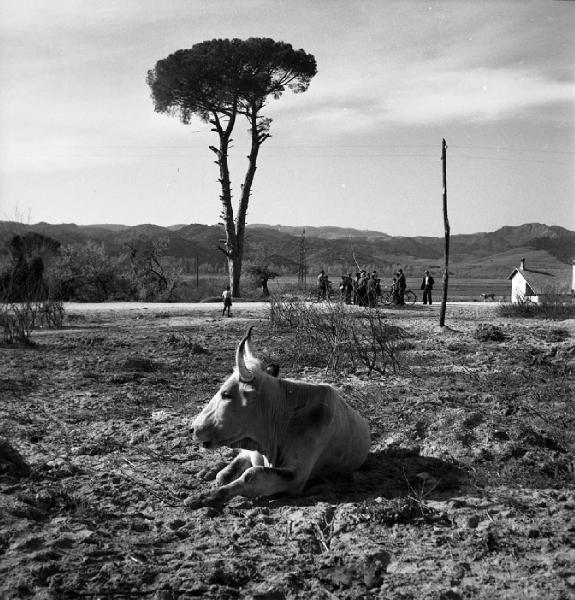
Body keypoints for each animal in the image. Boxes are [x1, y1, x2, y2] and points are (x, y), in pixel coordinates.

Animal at [187, 326, 372, 508]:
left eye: (226, 394)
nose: (192, 429)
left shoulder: (297, 476)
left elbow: (251, 474)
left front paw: (204, 497)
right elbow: (233, 472)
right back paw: (210, 471)